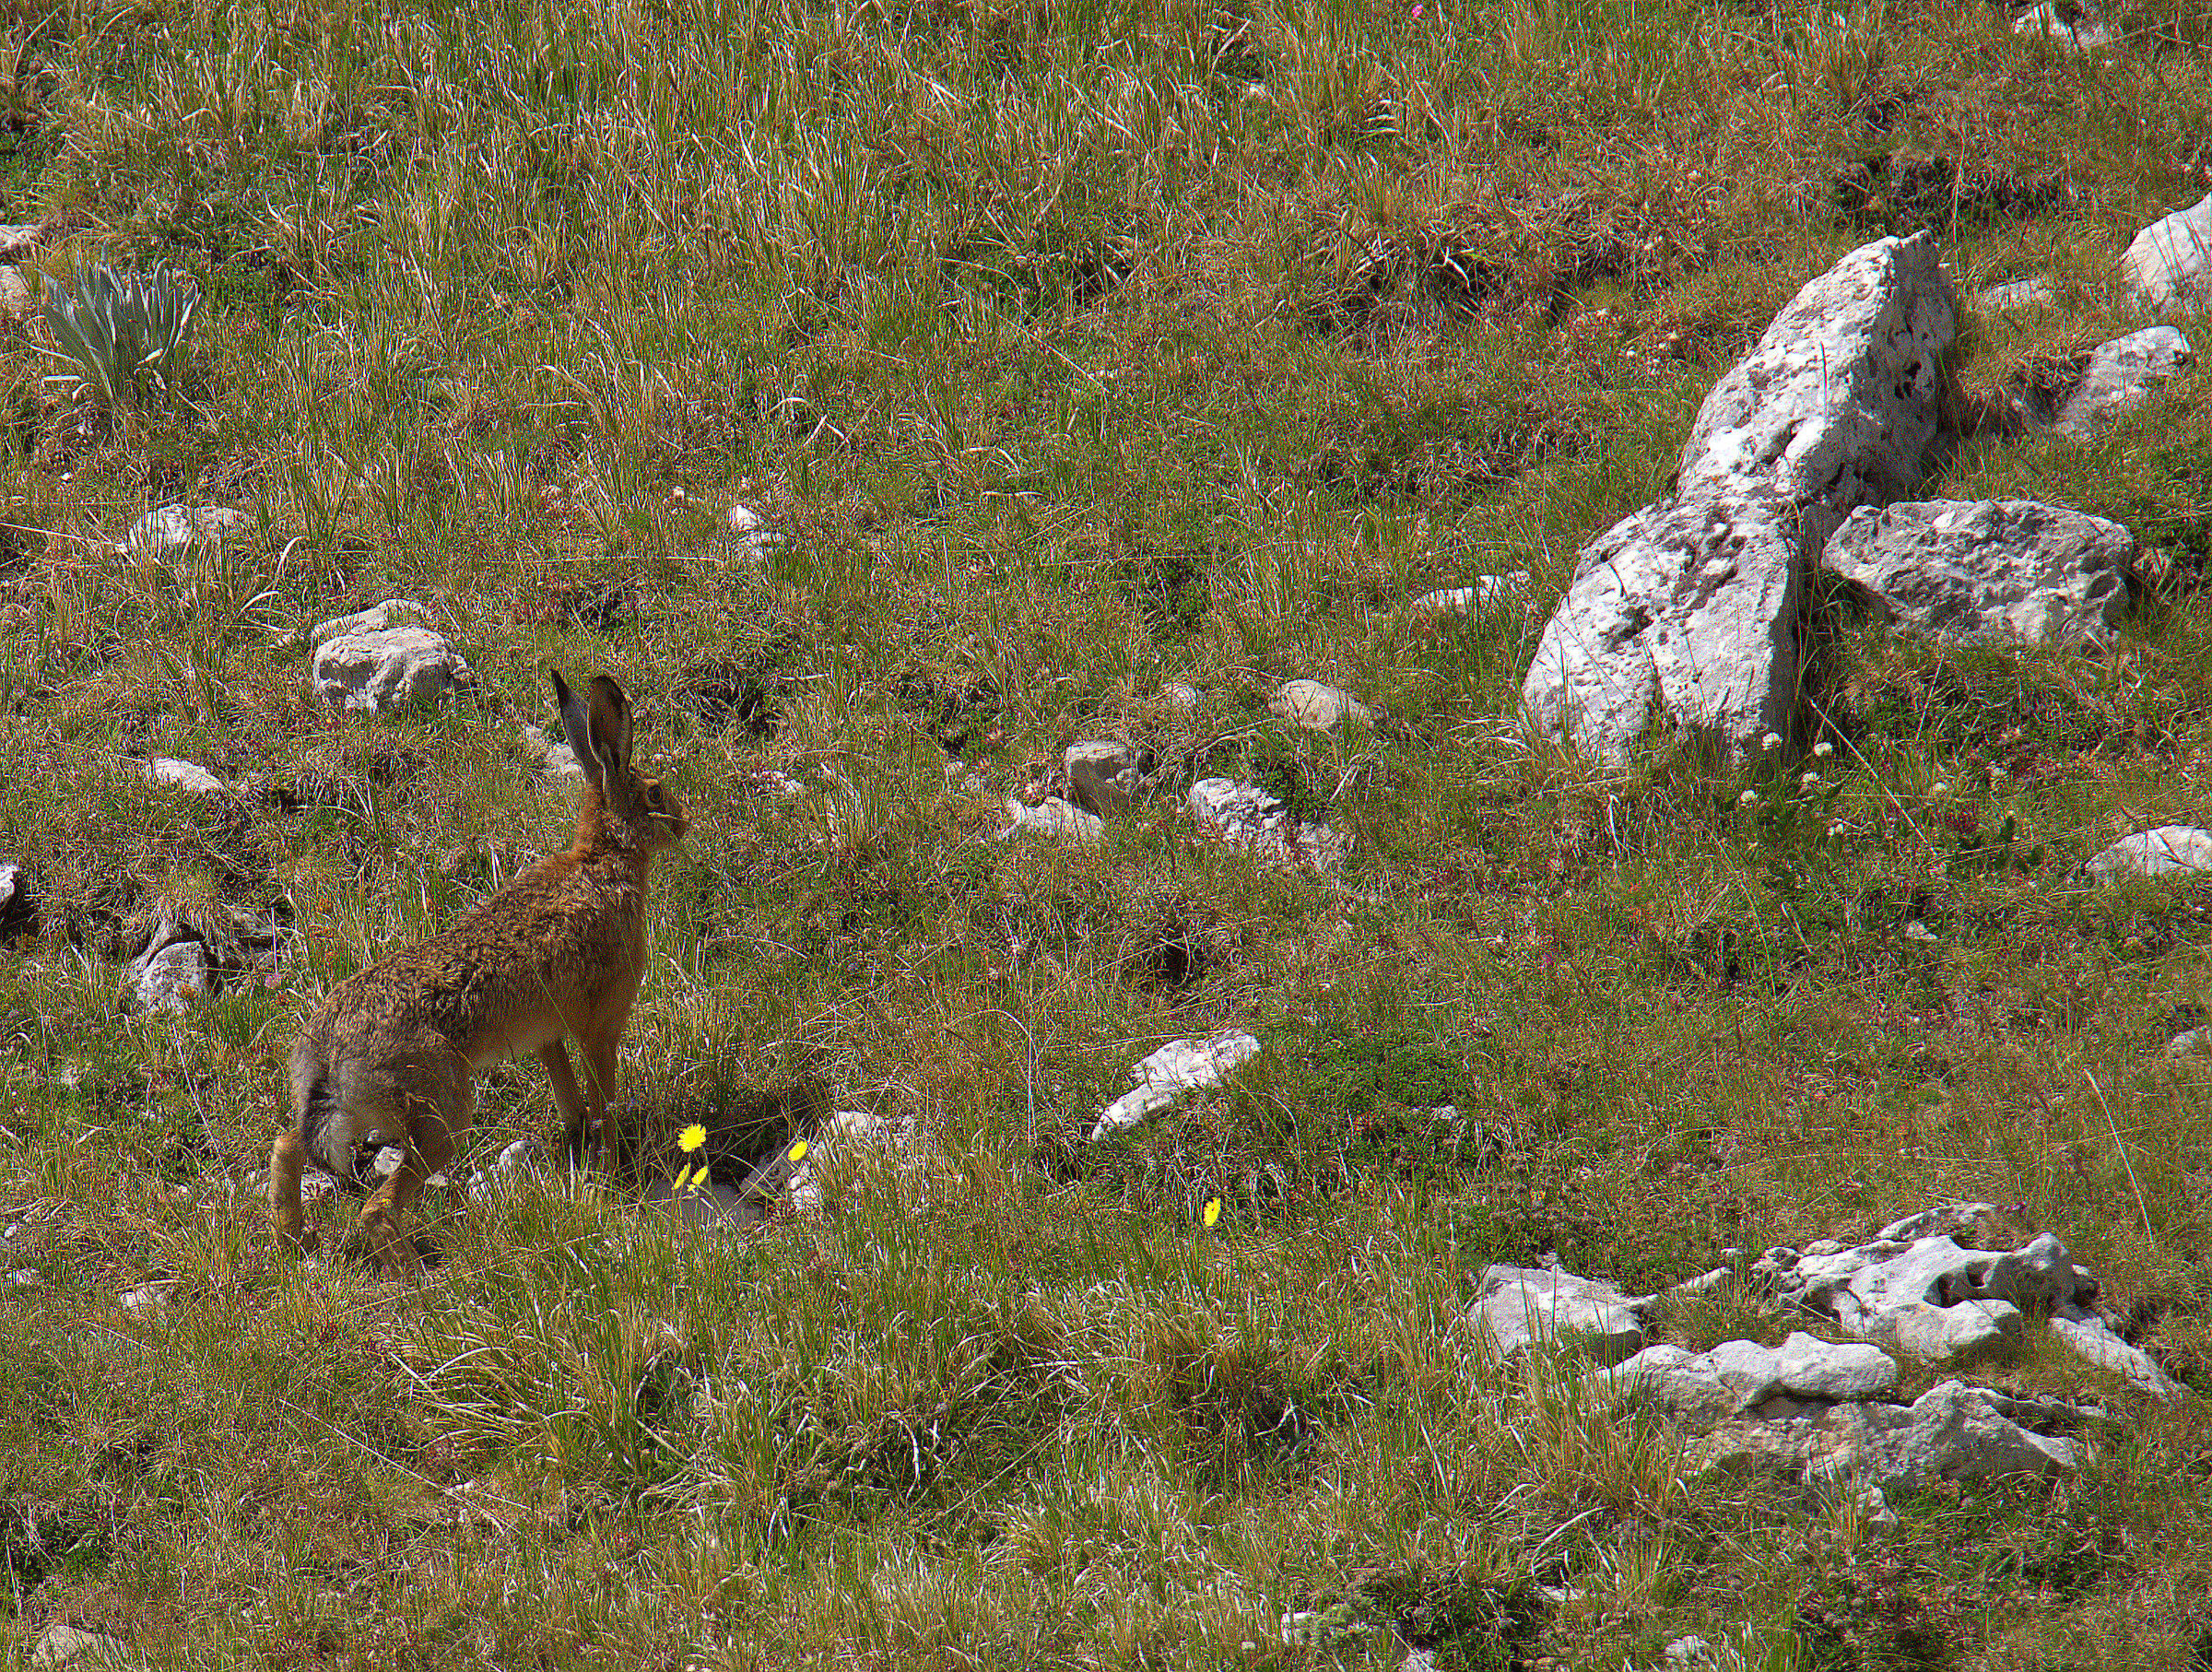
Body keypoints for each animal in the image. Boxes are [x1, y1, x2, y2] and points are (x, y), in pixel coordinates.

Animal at [270, 670, 689, 1275]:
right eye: (654, 792)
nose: (682, 821)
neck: (603, 860)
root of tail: (327, 1056)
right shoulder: (600, 1021)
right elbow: (602, 1090)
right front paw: (610, 1162)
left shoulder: (547, 1035)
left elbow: (567, 1090)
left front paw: (577, 1148)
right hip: (442, 1111)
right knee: (378, 1207)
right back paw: (413, 1275)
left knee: (286, 1149)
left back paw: (289, 1241)